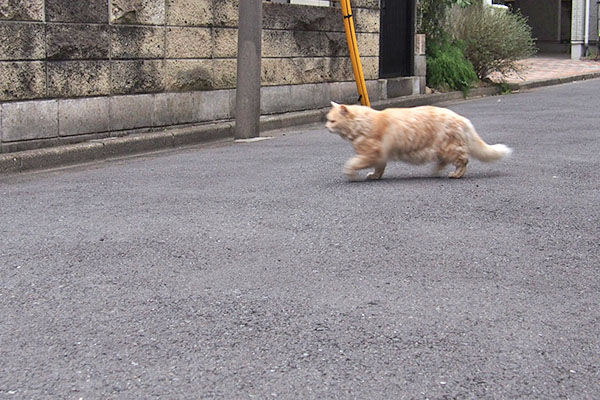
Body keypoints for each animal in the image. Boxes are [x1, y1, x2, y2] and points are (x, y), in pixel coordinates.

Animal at [326, 101, 512, 180]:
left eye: (332, 121)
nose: (326, 127)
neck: (362, 124)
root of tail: (462, 119)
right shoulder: (380, 155)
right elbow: (379, 169)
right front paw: (374, 176)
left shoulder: (371, 153)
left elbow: (352, 163)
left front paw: (350, 173)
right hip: (442, 149)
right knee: (446, 161)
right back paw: (436, 170)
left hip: (449, 147)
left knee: (463, 161)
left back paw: (455, 174)